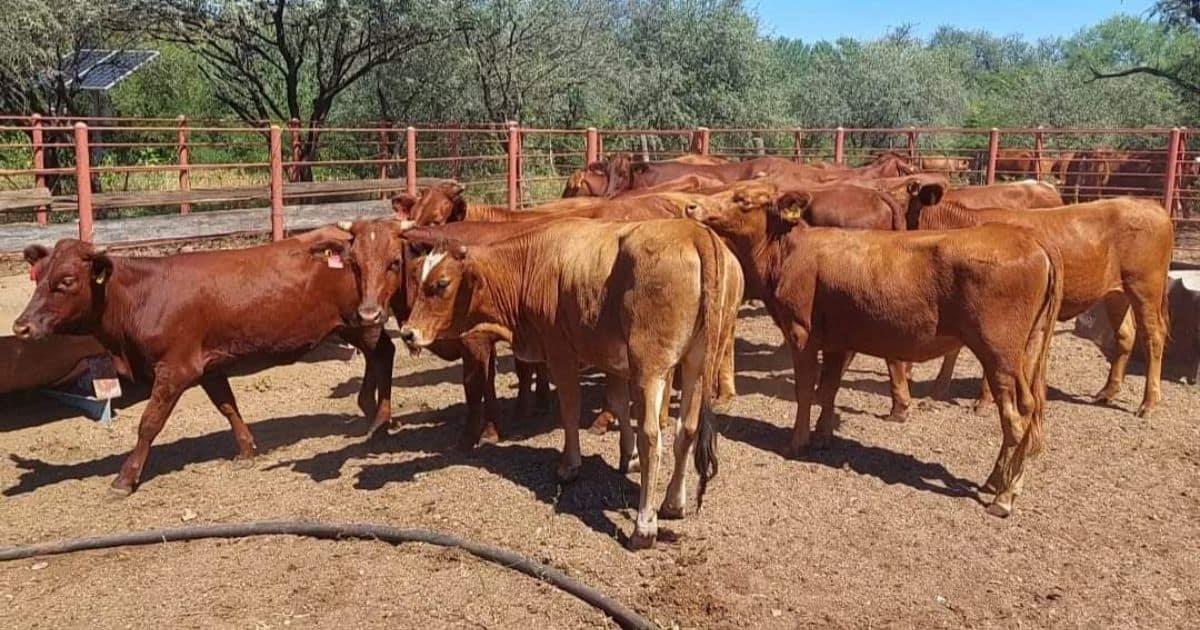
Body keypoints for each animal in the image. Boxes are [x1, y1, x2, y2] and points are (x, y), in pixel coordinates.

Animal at [10, 232, 393, 494]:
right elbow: (227, 405)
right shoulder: (210, 365)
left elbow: (149, 423)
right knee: (379, 355)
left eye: (67, 281)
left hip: (361, 321)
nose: (20, 326)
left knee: (384, 353)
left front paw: (125, 477)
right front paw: (246, 449)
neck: (143, 295)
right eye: (37, 276)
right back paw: (369, 409)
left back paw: (378, 418)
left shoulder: (176, 369)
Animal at [686, 177, 1060, 516]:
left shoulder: (801, 334)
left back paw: (1004, 496)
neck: (791, 253)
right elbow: (829, 388)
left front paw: (797, 441)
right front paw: (822, 436)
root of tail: (1031, 244)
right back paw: (997, 480)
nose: (692, 206)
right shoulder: (837, 341)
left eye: (743, 199)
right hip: (1023, 353)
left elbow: (806, 389)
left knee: (1015, 418)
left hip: (998, 354)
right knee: (1028, 408)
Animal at [907, 186, 1171, 417]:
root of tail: (1150, 205)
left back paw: (1148, 403)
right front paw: (936, 393)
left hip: (1145, 288)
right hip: (1117, 293)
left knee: (1153, 337)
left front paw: (982, 401)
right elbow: (953, 350)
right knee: (1125, 335)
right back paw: (1107, 392)